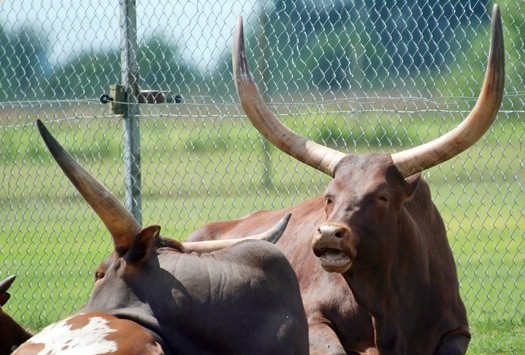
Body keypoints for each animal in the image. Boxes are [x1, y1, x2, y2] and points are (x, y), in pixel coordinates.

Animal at [186, 6, 502, 355]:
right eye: (328, 196)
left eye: (382, 196)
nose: (329, 234)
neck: (386, 309)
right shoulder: (311, 318)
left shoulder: (457, 330)